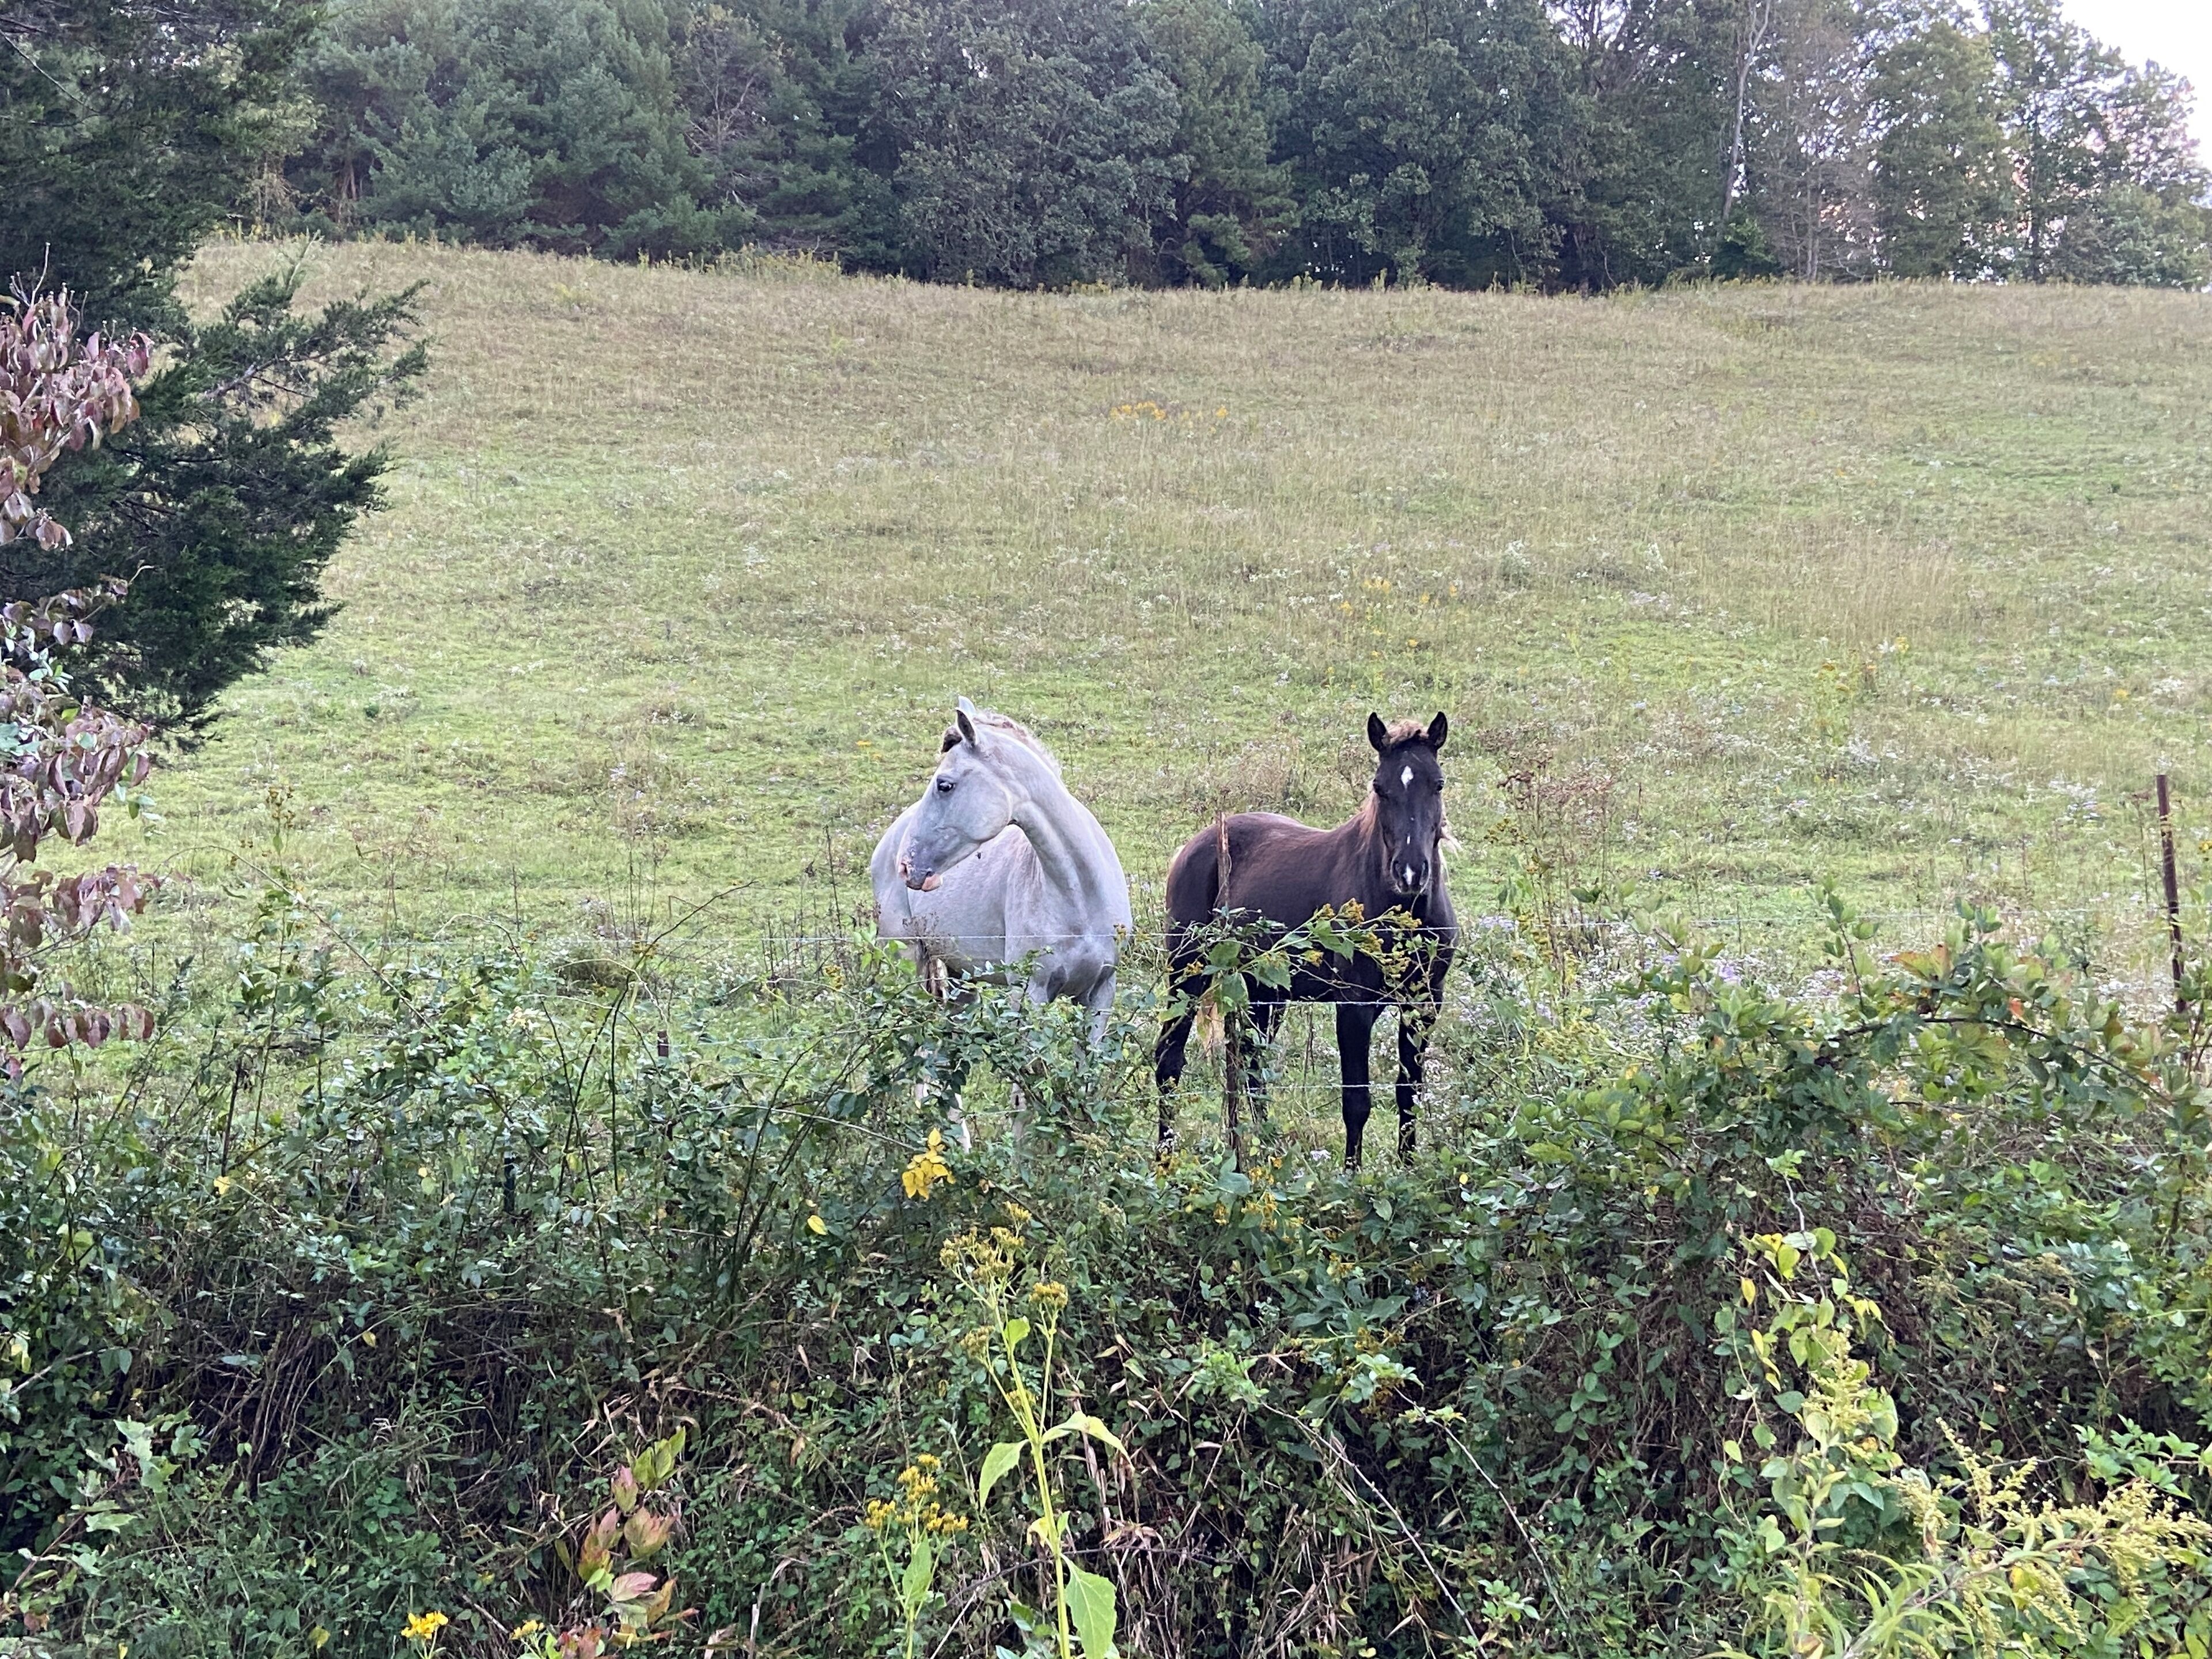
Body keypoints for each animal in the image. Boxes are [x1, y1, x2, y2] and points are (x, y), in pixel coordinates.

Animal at [870, 698, 1132, 1040]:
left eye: (945, 785)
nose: (906, 865)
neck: (1081, 897)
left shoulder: (1101, 992)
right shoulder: (1029, 992)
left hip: (960, 975)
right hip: (907, 960)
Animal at [1154, 712, 1456, 1169]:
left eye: (1437, 784)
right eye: (1379, 787)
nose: (1410, 872)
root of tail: (1196, 845)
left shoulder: (1423, 1005)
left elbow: (1409, 1098)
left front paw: (1407, 1170)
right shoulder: (1354, 1007)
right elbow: (1357, 1102)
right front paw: (1352, 1176)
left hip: (1266, 991)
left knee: (1252, 1064)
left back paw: (1268, 1149)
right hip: (1188, 973)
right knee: (1169, 1060)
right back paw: (1165, 1158)